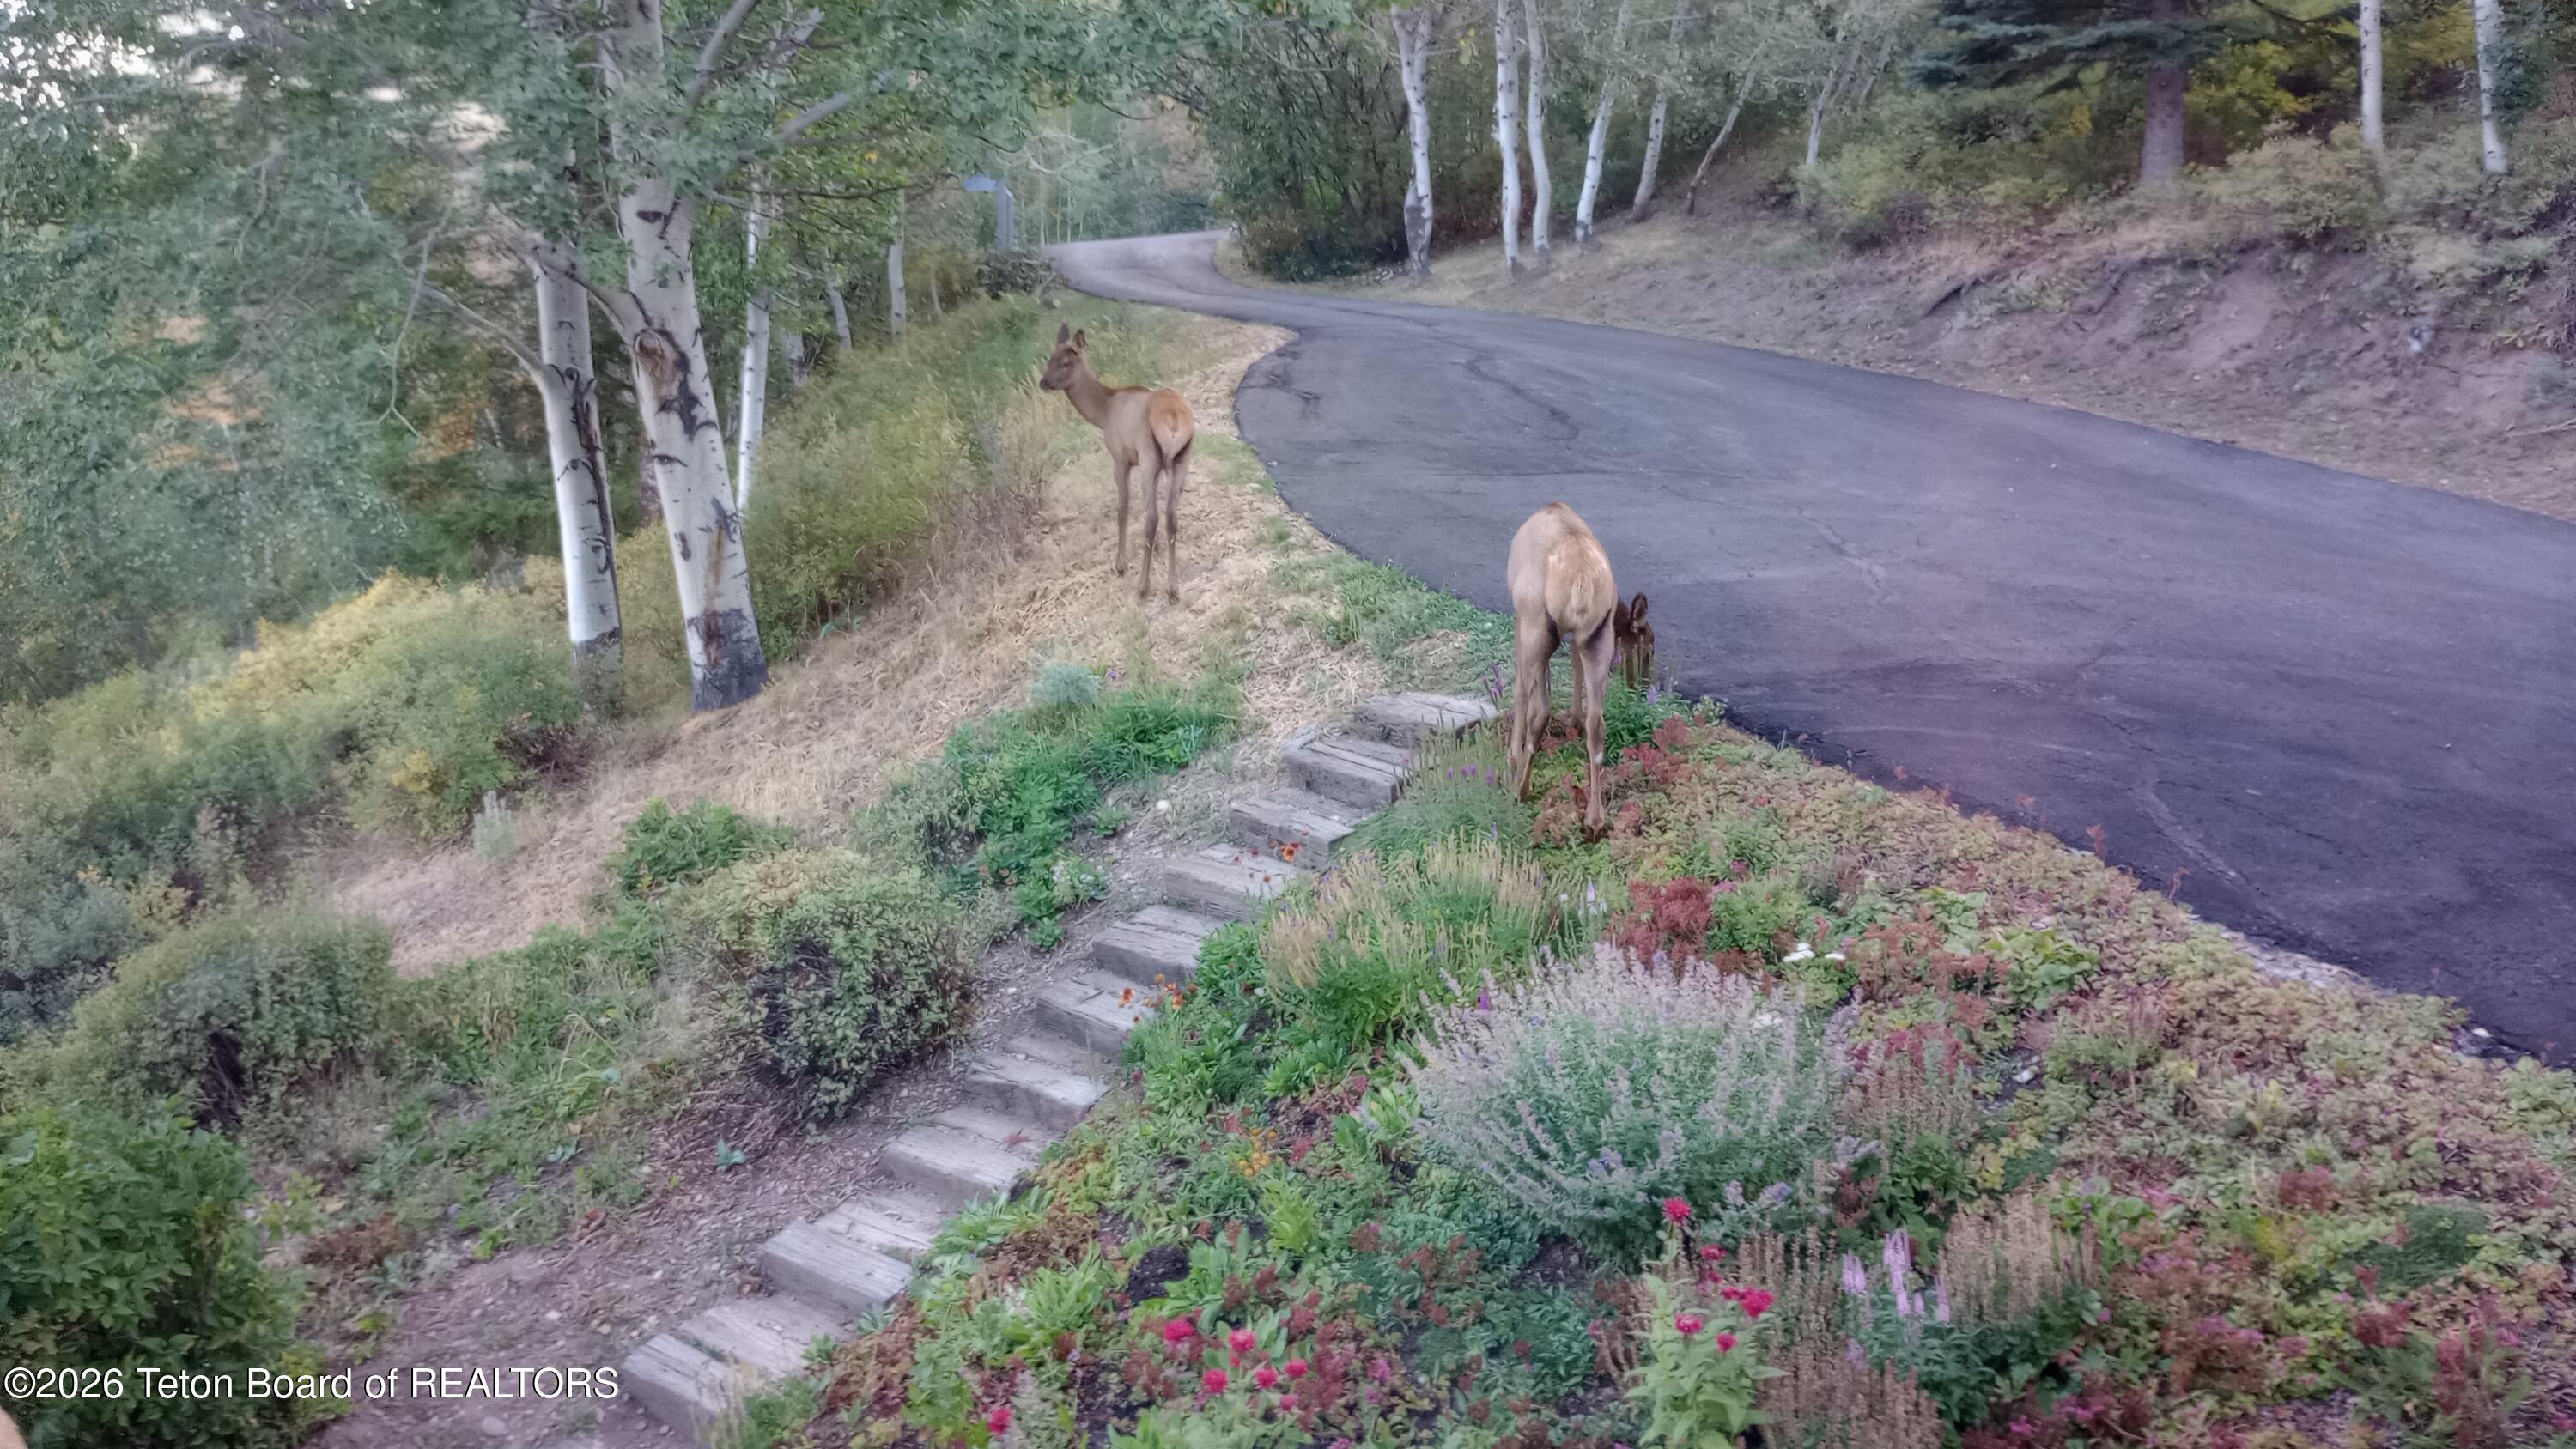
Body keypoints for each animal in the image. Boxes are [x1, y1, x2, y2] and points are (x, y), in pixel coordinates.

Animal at [1039, 323, 1196, 604]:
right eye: (1049, 359)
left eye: (1066, 362)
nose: (1043, 382)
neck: (1103, 413)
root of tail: (1175, 419)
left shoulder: (1121, 458)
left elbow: (1122, 509)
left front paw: (1120, 564)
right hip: (1180, 460)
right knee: (1171, 516)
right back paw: (1173, 588)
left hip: (1149, 456)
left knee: (1152, 517)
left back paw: (1143, 586)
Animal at [1504, 502, 1619, 836]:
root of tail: (1580, 585)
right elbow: (1573, 663)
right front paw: (1574, 717)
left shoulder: (1520, 617)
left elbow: (1520, 687)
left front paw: (1511, 755)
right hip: (1600, 635)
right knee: (1597, 723)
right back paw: (1594, 819)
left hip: (1536, 625)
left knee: (1539, 710)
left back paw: (1521, 786)